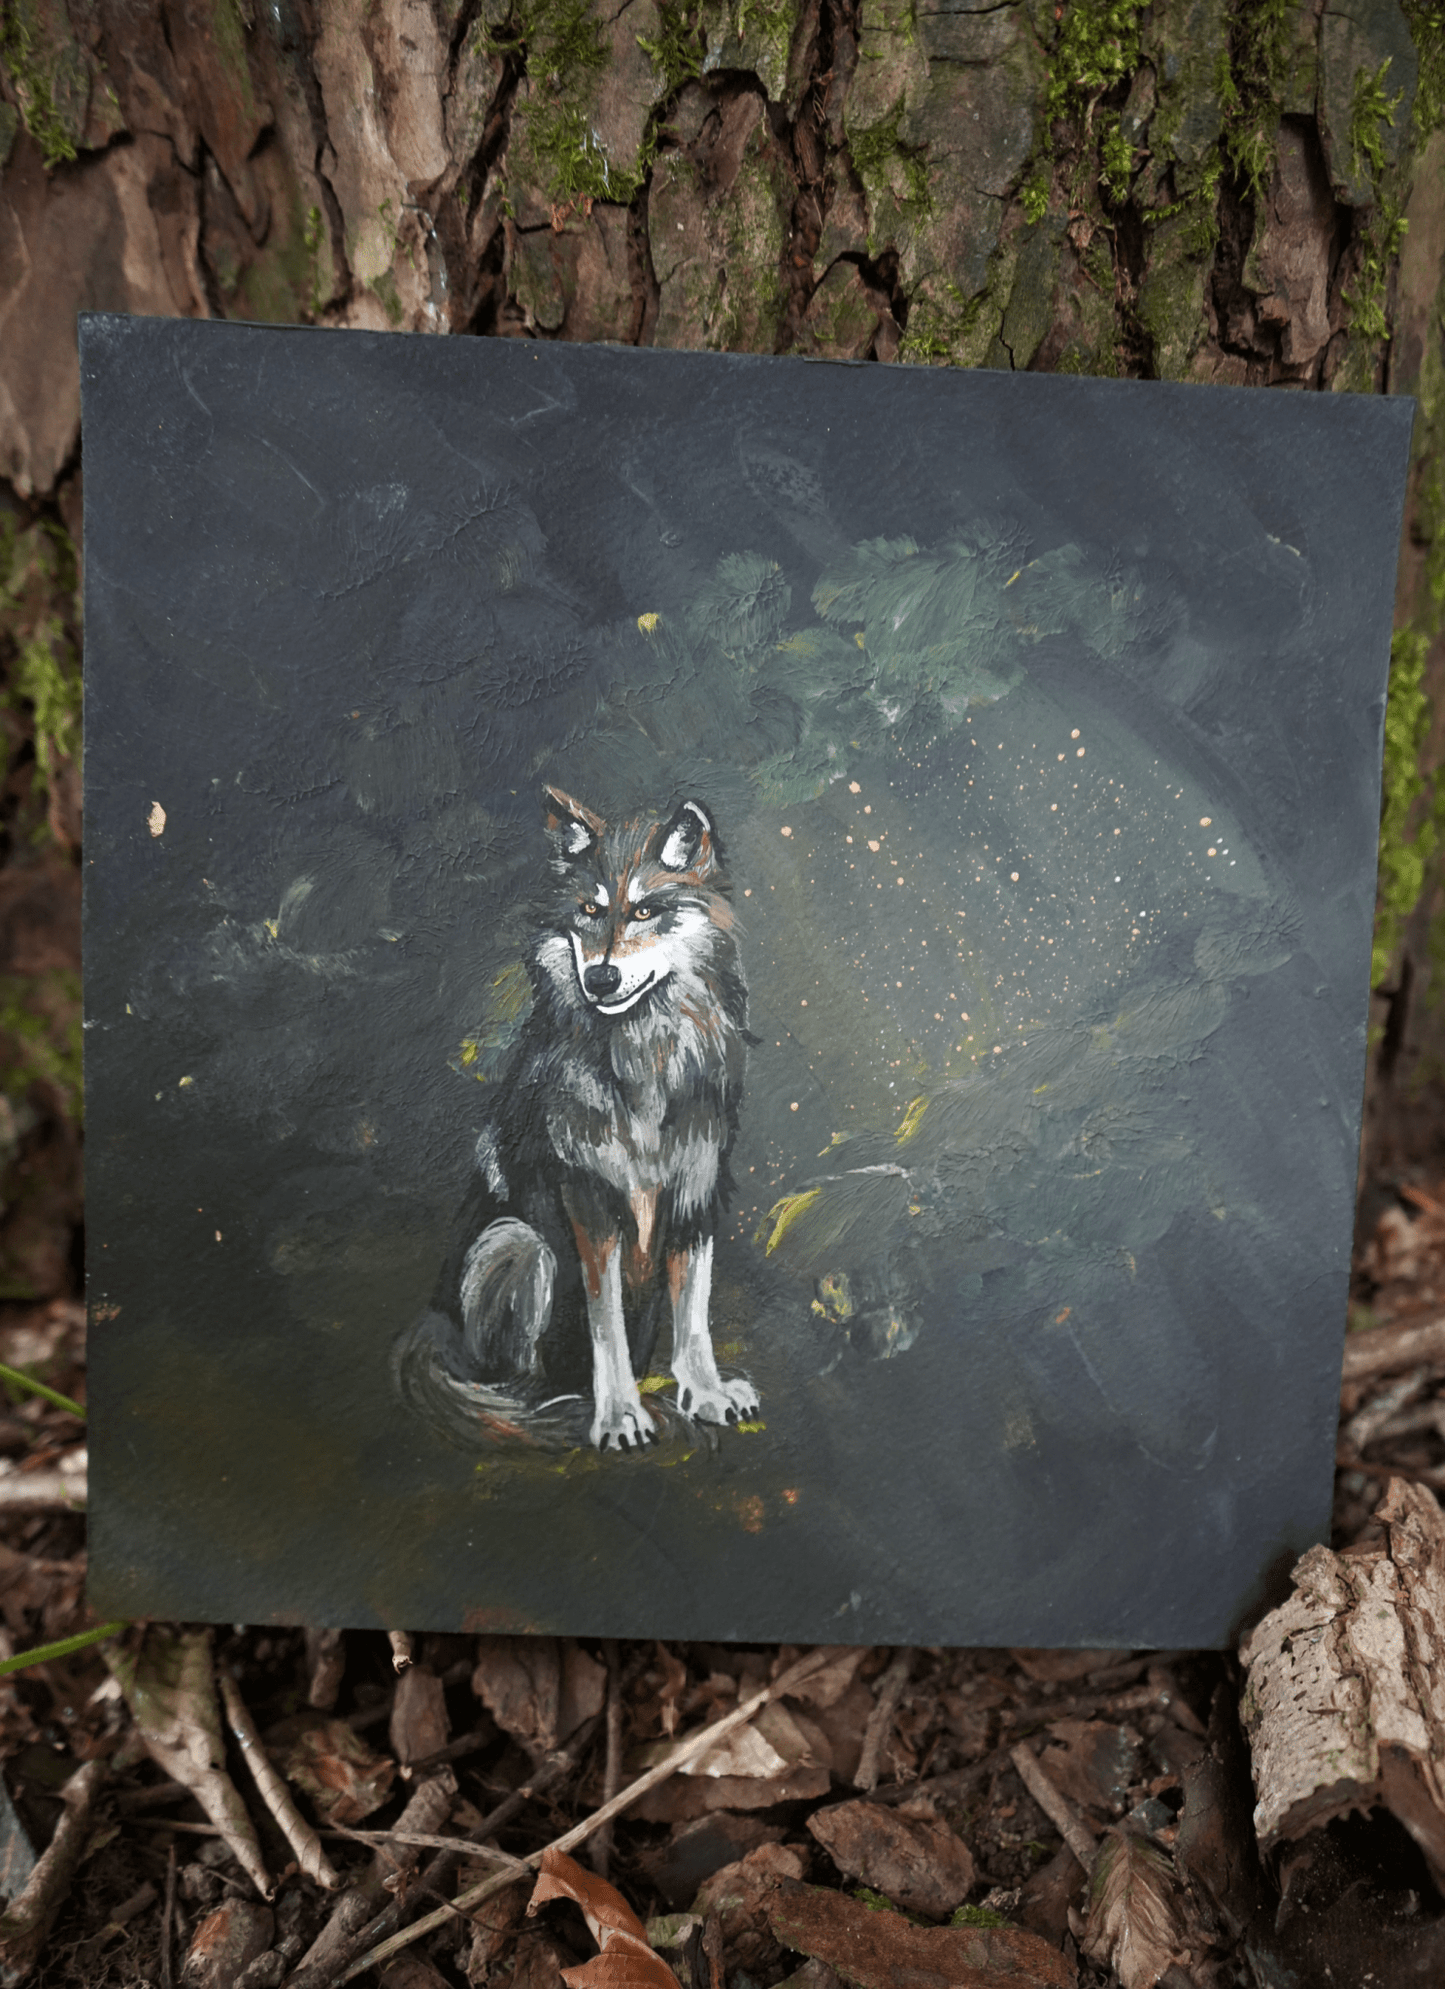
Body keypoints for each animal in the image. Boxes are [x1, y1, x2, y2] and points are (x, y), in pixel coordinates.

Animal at [398, 787, 758, 1452]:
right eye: (590, 909)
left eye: (645, 912)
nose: (601, 976)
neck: (644, 1058)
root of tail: (435, 1324)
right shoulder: (589, 1203)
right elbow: (605, 1321)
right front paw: (617, 1414)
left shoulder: (695, 1196)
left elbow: (694, 1316)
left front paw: (706, 1392)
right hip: (517, 1242)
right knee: (511, 1373)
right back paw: (552, 1404)